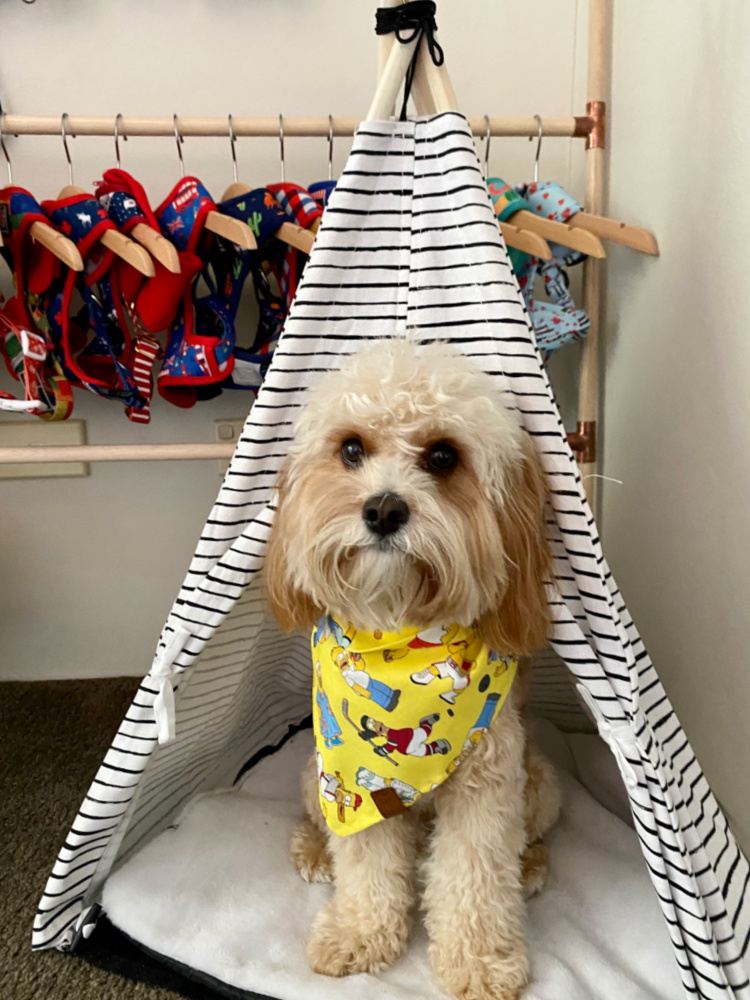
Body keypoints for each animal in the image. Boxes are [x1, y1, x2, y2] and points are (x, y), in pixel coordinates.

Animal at [264, 340, 560, 996]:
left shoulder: (488, 784)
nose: (382, 508)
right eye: (351, 449)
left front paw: (479, 962)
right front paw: (358, 935)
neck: (401, 634)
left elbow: (477, 877)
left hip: (541, 783)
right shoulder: (353, 782)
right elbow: (366, 864)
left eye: (443, 456)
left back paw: (530, 864)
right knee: (322, 824)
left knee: (524, 840)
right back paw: (314, 850)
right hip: (312, 773)